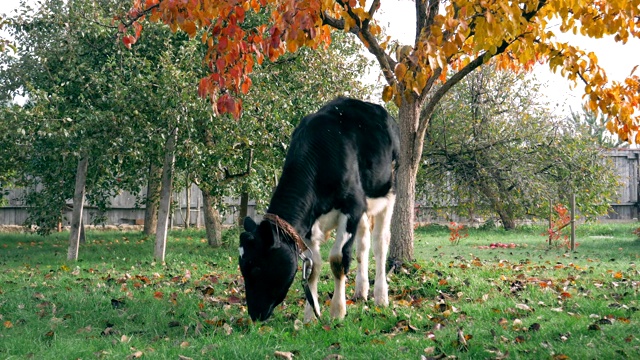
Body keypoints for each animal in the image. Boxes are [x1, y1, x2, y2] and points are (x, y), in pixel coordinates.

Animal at [240, 97, 400, 322]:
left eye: (255, 267)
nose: (254, 314)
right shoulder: (309, 223)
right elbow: (313, 267)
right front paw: (310, 316)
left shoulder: (352, 206)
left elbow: (338, 260)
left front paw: (337, 312)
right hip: (364, 210)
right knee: (363, 245)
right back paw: (361, 291)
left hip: (389, 191)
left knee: (380, 243)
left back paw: (380, 296)